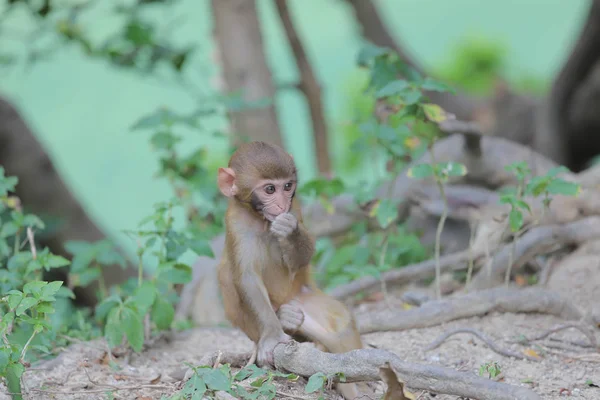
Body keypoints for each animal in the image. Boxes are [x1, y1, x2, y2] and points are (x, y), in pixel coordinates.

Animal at [216, 142, 366, 398]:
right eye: (269, 189)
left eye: (287, 186)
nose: (281, 205)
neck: (260, 219)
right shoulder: (236, 223)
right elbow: (246, 277)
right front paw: (272, 335)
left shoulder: (295, 208)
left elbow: (302, 258)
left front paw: (289, 230)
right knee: (225, 273)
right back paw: (283, 319)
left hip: (304, 298)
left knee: (340, 325)